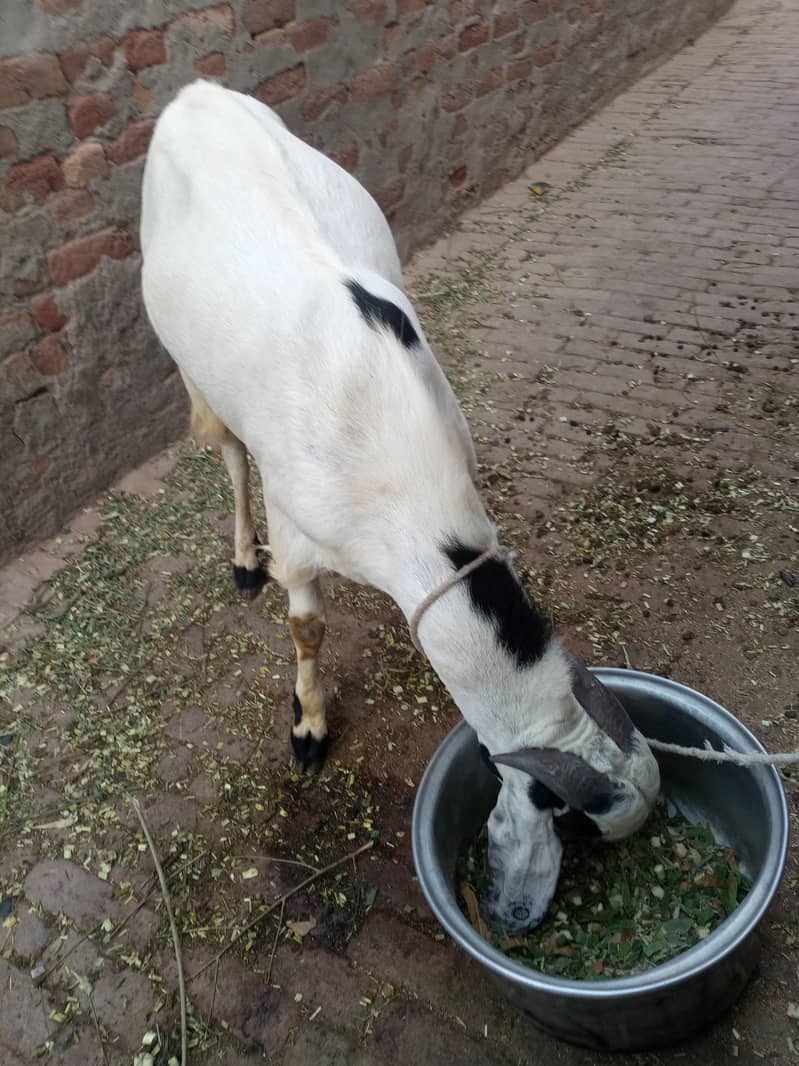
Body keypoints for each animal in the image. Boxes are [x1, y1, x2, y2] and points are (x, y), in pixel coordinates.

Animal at [140, 80, 660, 932]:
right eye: (573, 822)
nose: (517, 915)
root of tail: (196, 92)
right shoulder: (301, 527)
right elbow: (307, 626)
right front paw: (308, 728)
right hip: (188, 361)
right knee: (226, 447)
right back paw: (243, 561)